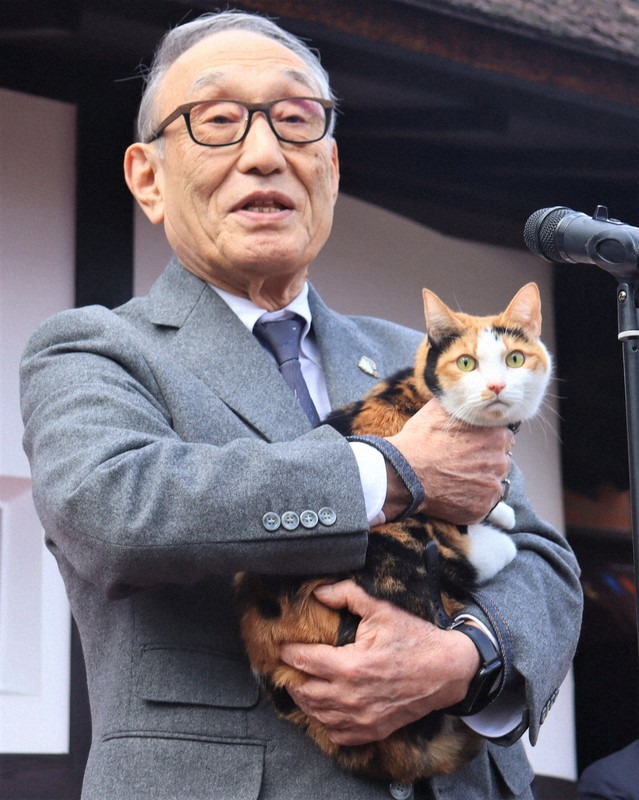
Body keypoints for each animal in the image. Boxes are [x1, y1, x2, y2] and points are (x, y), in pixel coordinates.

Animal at [234, 284, 552, 784]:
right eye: (466, 363)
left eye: (515, 359)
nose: (497, 387)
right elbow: (496, 544)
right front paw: (500, 522)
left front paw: (501, 509)